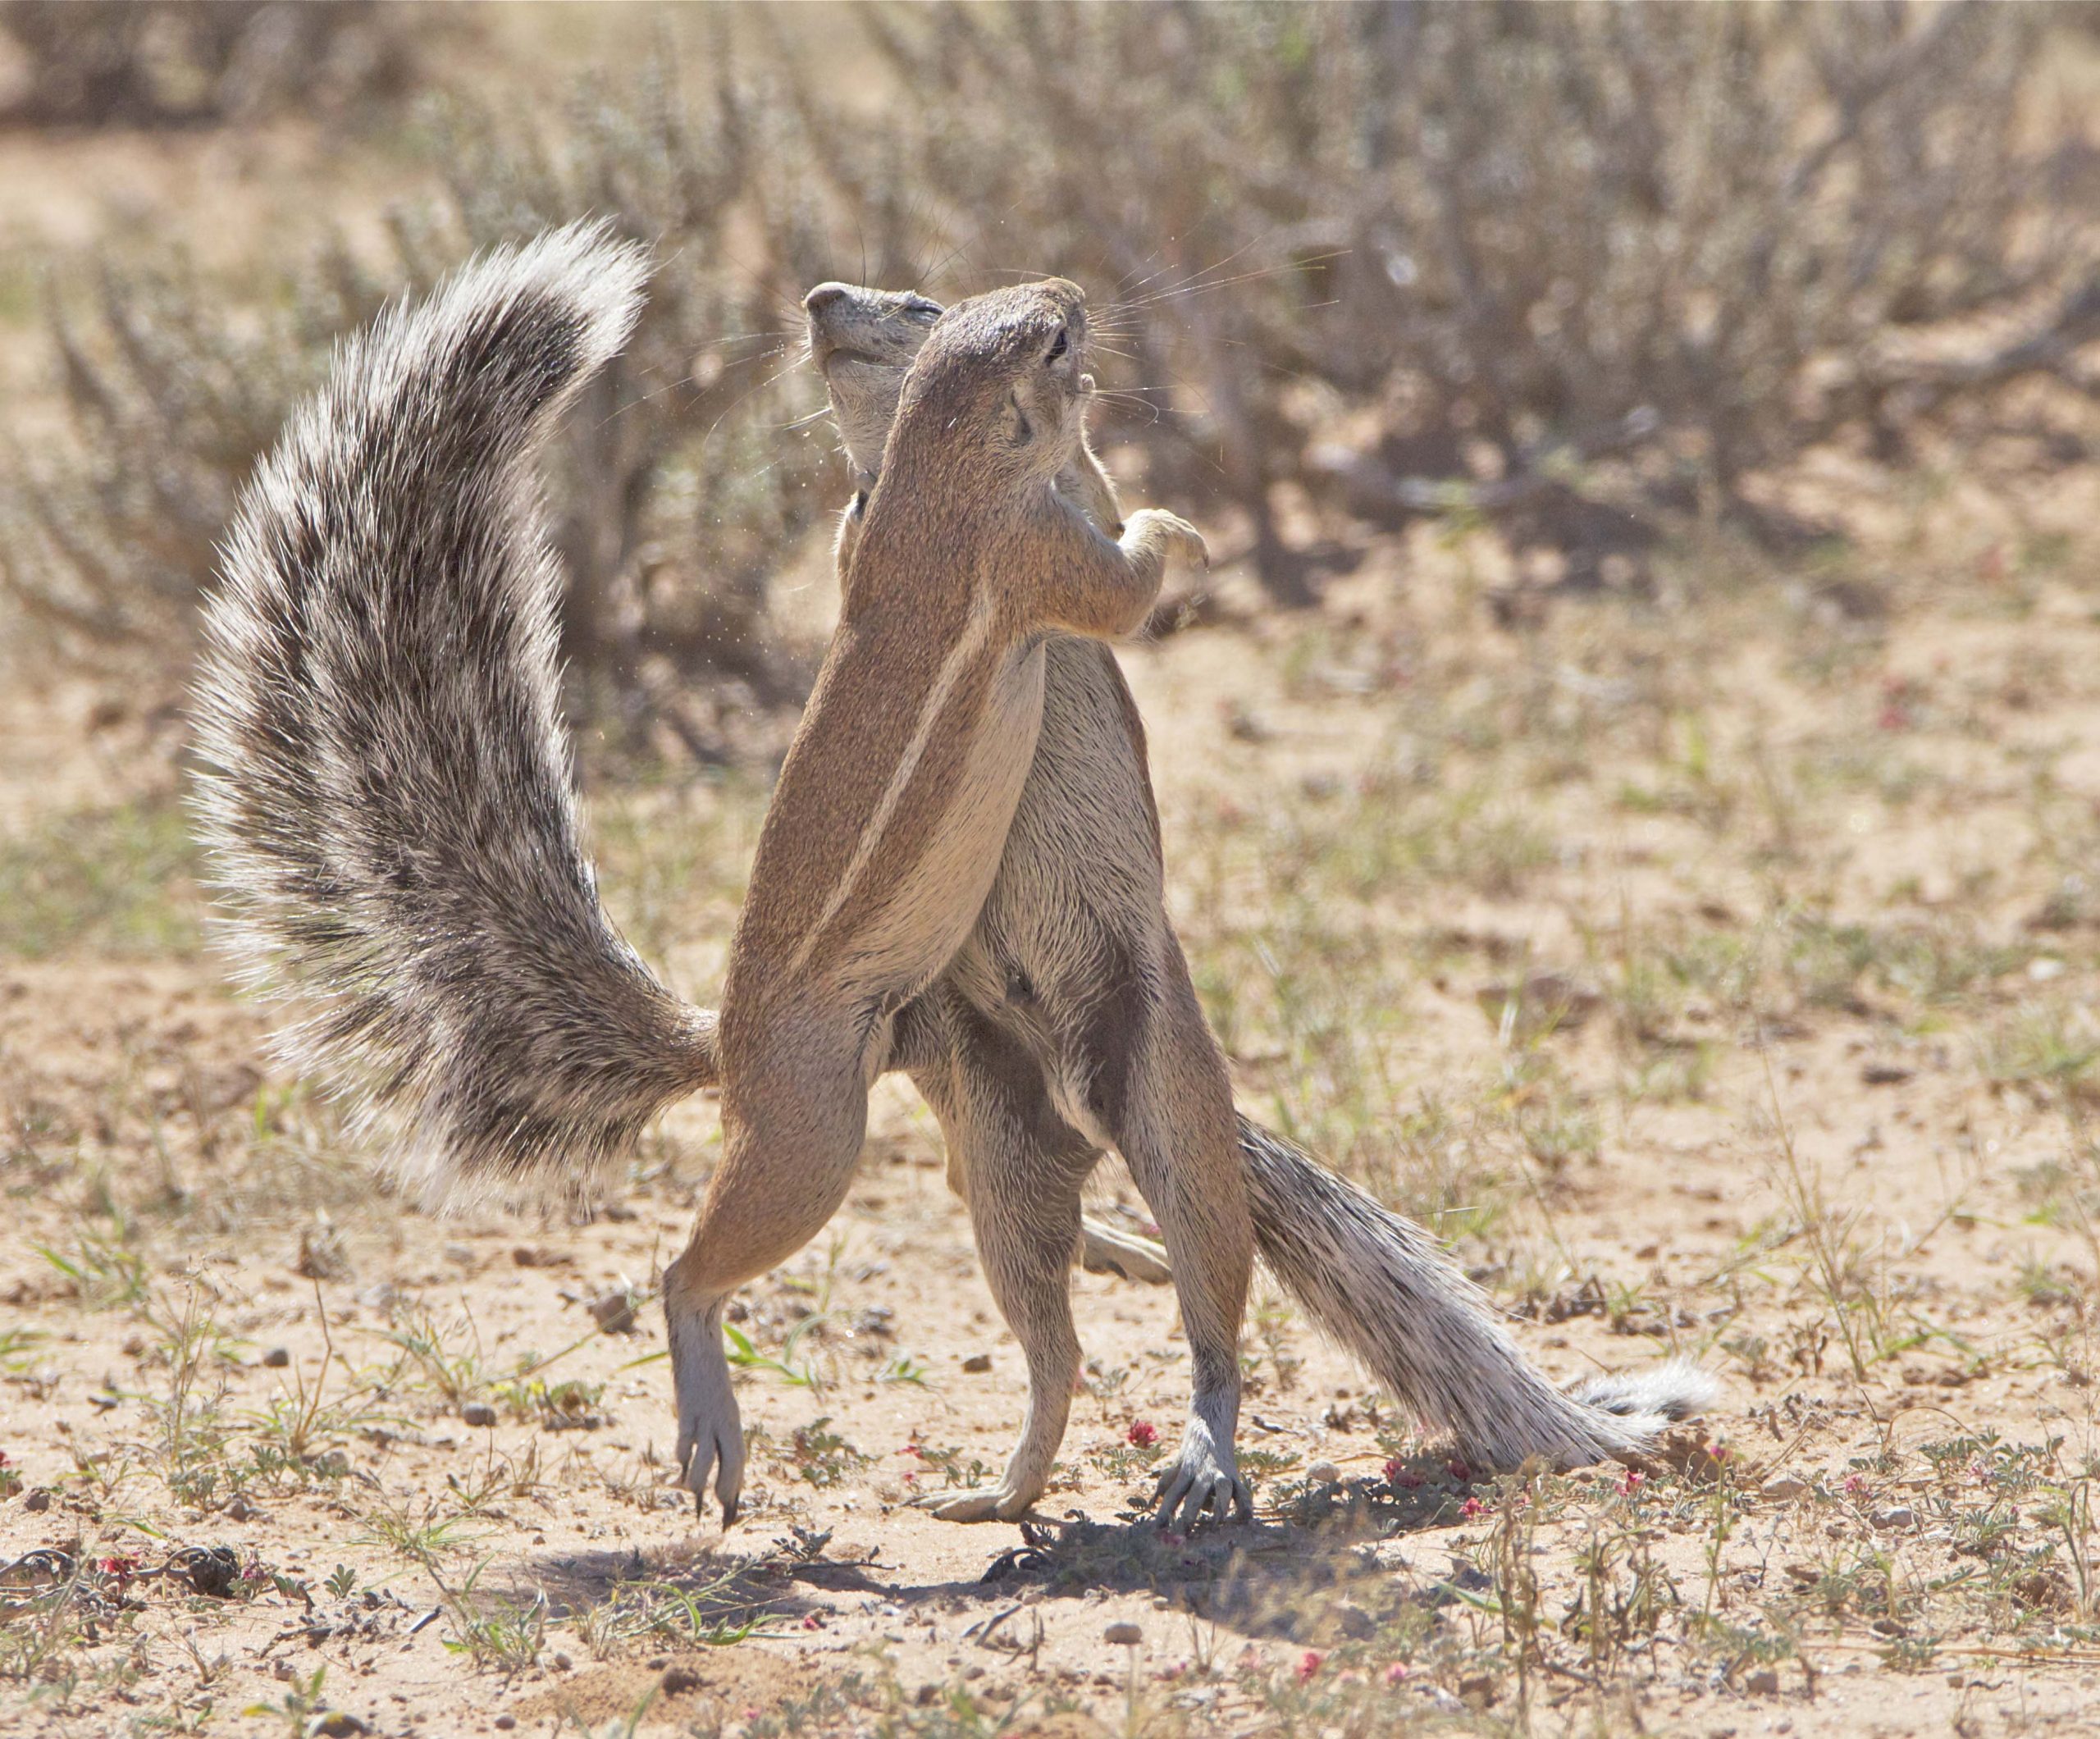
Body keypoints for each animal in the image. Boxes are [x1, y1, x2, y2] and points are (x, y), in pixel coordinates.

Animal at [194, 225, 1711, 1536]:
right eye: (1039, 331)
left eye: (931, 297)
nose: (820, 300)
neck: (929, 471)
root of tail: (726, 1042)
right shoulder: (1034, 552)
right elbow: (1119, 588)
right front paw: (1184, 530)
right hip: (827, 1126)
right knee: (730, 1268)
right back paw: (773, 1413)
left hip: (1048, 1099)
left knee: (1101, 1298)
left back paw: (1041, 1443)